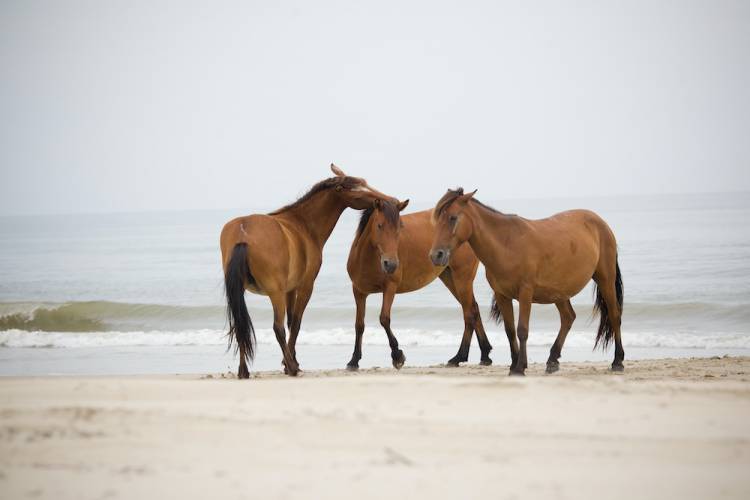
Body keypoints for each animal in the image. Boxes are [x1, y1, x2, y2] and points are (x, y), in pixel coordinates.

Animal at [348, 197, 500, 370]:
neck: (367, 259)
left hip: (462, 278)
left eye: (399, 229)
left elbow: (384, 319)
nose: (391, 264)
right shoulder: (358, 292)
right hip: (450, 278)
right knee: (473, 309)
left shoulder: (390, 288)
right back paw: (484, 354)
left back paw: (458, 357)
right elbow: (359, 325)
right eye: (379, 226)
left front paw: (397, 356)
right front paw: (354, 360)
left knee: (469, 313)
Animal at [428, 190, 624, 376]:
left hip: (605, 280)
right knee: (568, 317)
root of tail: (600, 222)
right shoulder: (502, 295)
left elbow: (522, 329)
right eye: (437, 220)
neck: (507, 244)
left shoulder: (525, 293)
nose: (436, 255)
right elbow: (509, 331)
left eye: (453, 218)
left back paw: (618, 361)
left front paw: (519, 368)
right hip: (559, 292)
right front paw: (514, 364)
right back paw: (552, 360)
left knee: (614, 315)